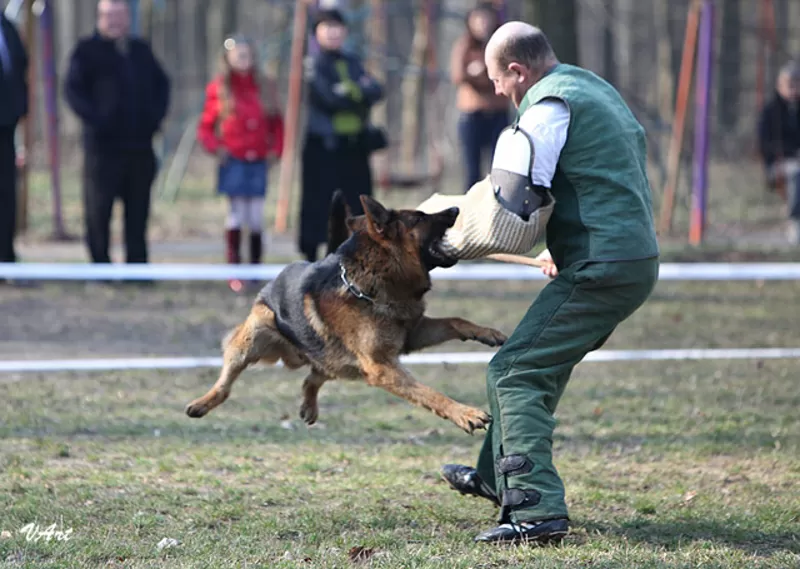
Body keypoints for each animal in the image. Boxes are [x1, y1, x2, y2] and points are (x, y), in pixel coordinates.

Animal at [186, 191, 506, 430]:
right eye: (419, 217)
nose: (454, 208)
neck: (372, 285)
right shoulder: (382, 367)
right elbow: (429, 393)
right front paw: (465, 413)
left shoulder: (411, 335)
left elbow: (455, 320)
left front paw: (487, 333)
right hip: (252, 337)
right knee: (227, 382)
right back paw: (203, 403)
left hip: (335, 360)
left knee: (313, 376)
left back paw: (309, 404)